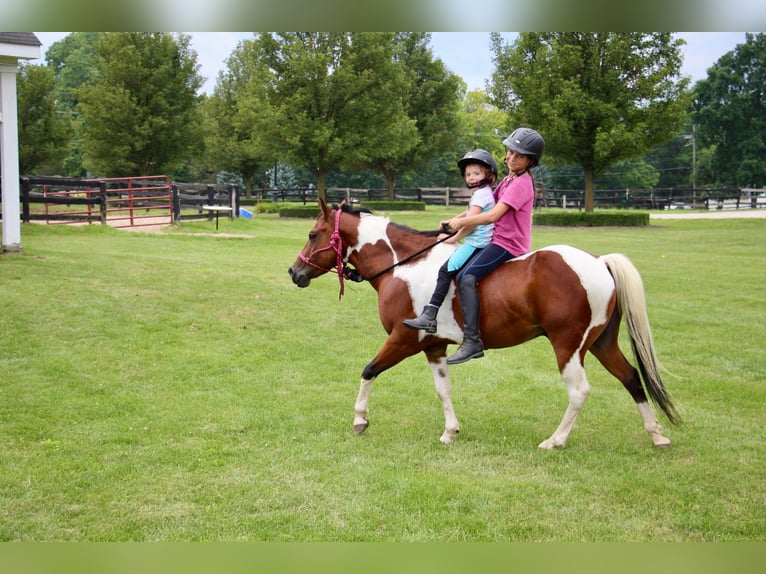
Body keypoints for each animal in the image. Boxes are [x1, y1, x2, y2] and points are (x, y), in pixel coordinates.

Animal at [288, 200, 680, 452]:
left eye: (312, 234)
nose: (294, 272)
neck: (403, 265)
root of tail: (598, 262)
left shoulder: (404, 339)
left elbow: (369, 370)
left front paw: (360, 420)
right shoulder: (434, 347)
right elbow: (443, 390)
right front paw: (450, 432)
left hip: (568, 345)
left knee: (580, 391)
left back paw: (555, 440)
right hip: (601, 343)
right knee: (631, 377)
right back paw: (657, 435)